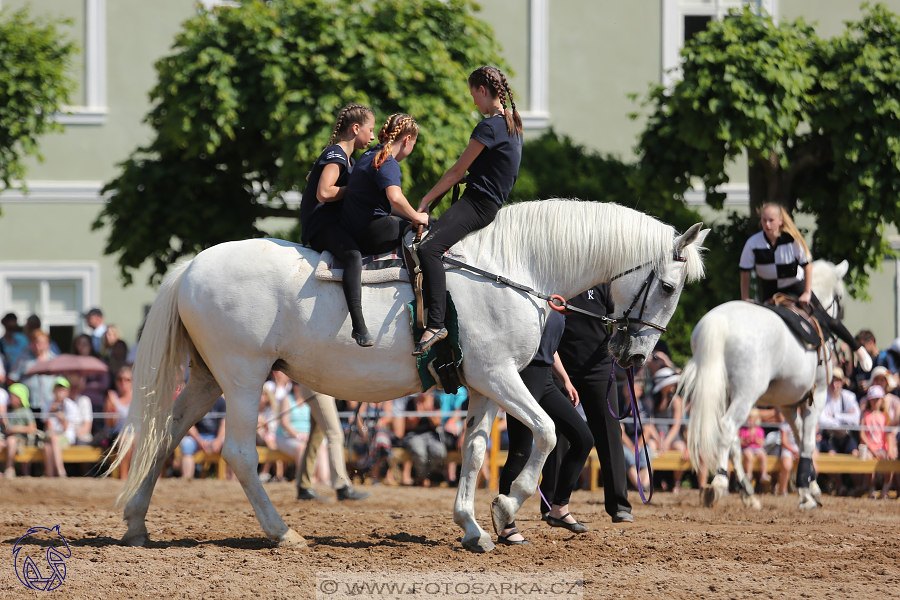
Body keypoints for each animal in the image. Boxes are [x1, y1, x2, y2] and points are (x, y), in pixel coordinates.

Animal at [107, 202, 712, 552]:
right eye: (668, 287)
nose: (635, 354)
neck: (510, 266)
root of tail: (192, 264)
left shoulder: (486, 385)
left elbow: (474, 451)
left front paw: (473, 526)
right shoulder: (500, 376)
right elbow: (545, 432)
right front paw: (506, 507)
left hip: (209, 380)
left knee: (164, 438)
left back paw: (137, 526)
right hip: (243, 379)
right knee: (237, 453)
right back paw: (282, 532)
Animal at [680, 260, 860, 508]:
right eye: (840, 296)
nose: (840, 315)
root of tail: (719, 320)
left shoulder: (787, 404)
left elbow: (799, 436)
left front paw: (811, 487)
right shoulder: (819, 395)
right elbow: (808, 442)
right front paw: (806, 491)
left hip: (723, 394)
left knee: (733, 441)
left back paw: (748, 492)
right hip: (746, 395)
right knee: (727, 428)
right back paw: (719, 482)